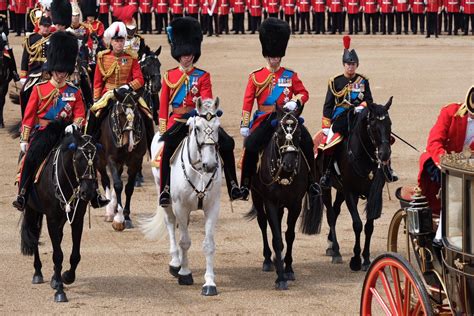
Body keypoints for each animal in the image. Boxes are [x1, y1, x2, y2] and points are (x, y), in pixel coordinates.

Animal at [20, 127, 100, 302]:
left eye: (96, 159)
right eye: (78, 158)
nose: (88, 192)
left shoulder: (77, 218)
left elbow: (74, 255)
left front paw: (66, 276)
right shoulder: (52, 218)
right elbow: (58, 255)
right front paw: (60, 292)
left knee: (58, 237)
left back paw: (54, 278)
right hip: (32, 209)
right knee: (34, 236)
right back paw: (38, 272)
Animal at [96, 89, 147, 230]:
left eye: (136, 114)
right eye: (120, 114)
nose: (129, 144)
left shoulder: (136, 161)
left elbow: (129, 188)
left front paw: (127, 217)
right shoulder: (111, 159)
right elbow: (118, 185)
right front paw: (118, 219)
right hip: (100, 160)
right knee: (106, 180)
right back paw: (109, 211)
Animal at [141, 97, 222, 296]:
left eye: (217, 127)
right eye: (197, 128)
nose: (210, 165)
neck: (199, 169)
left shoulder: (212, 207)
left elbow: (209, 245)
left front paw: (209, 283)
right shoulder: (181, 207)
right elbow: (184, 241)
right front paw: (185, 273)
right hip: (165, 197)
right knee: (170, 223)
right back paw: (175, 263)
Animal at [246, 109, 320, 292]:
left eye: (299, 133)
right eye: (279, 133)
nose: (289, 164)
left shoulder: (295, 205)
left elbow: (289, 236)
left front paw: (288, 269)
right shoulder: (270, 203)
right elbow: (277, 238)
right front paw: (280, 278)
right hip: (257, 197)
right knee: (263, 223)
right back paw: (268, 259)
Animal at [314, 98, 396, 272]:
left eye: (389, 124)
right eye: (373, 124)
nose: (384, 154)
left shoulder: (372, 193)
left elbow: (369, 226)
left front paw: (366, 259)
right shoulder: (350, 192)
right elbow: (357, 224)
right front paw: (356, 260)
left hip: (341, 191)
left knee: (336, 210)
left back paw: (331, 245)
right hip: (326, 187)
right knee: (330, 214)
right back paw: (336, 251)